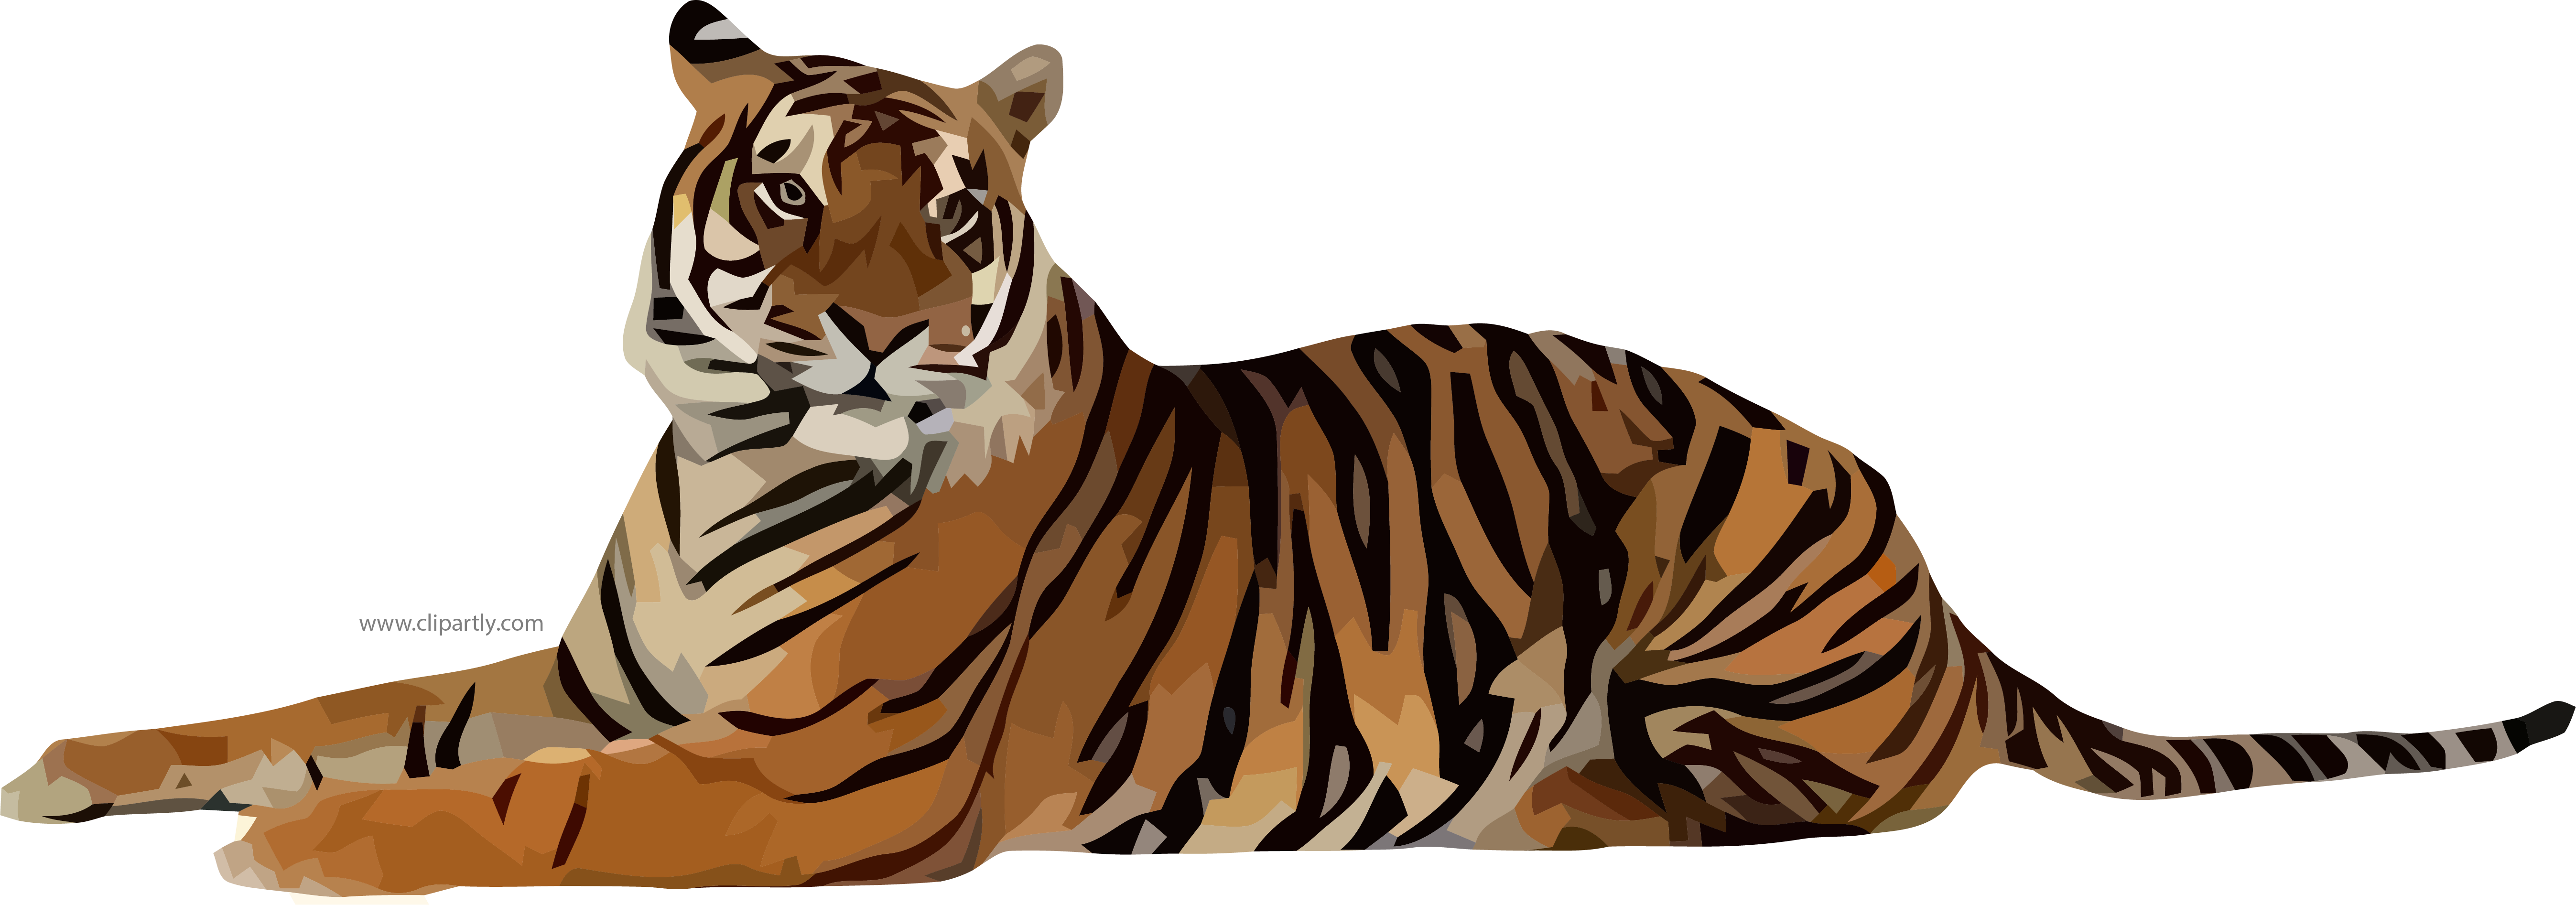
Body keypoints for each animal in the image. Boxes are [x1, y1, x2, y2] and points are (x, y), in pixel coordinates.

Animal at [4, 3, 2564, 895]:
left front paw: (292, 849)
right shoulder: (595, 670)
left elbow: (527, 803)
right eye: (788, 194)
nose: (878, 328)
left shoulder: (812, 773)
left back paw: (1556, 800)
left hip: (1723, 512)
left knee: (1840, 801)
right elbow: (331, 701)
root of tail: (1960, 610)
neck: (728, 455)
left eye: (950, 212)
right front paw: (82, 762)